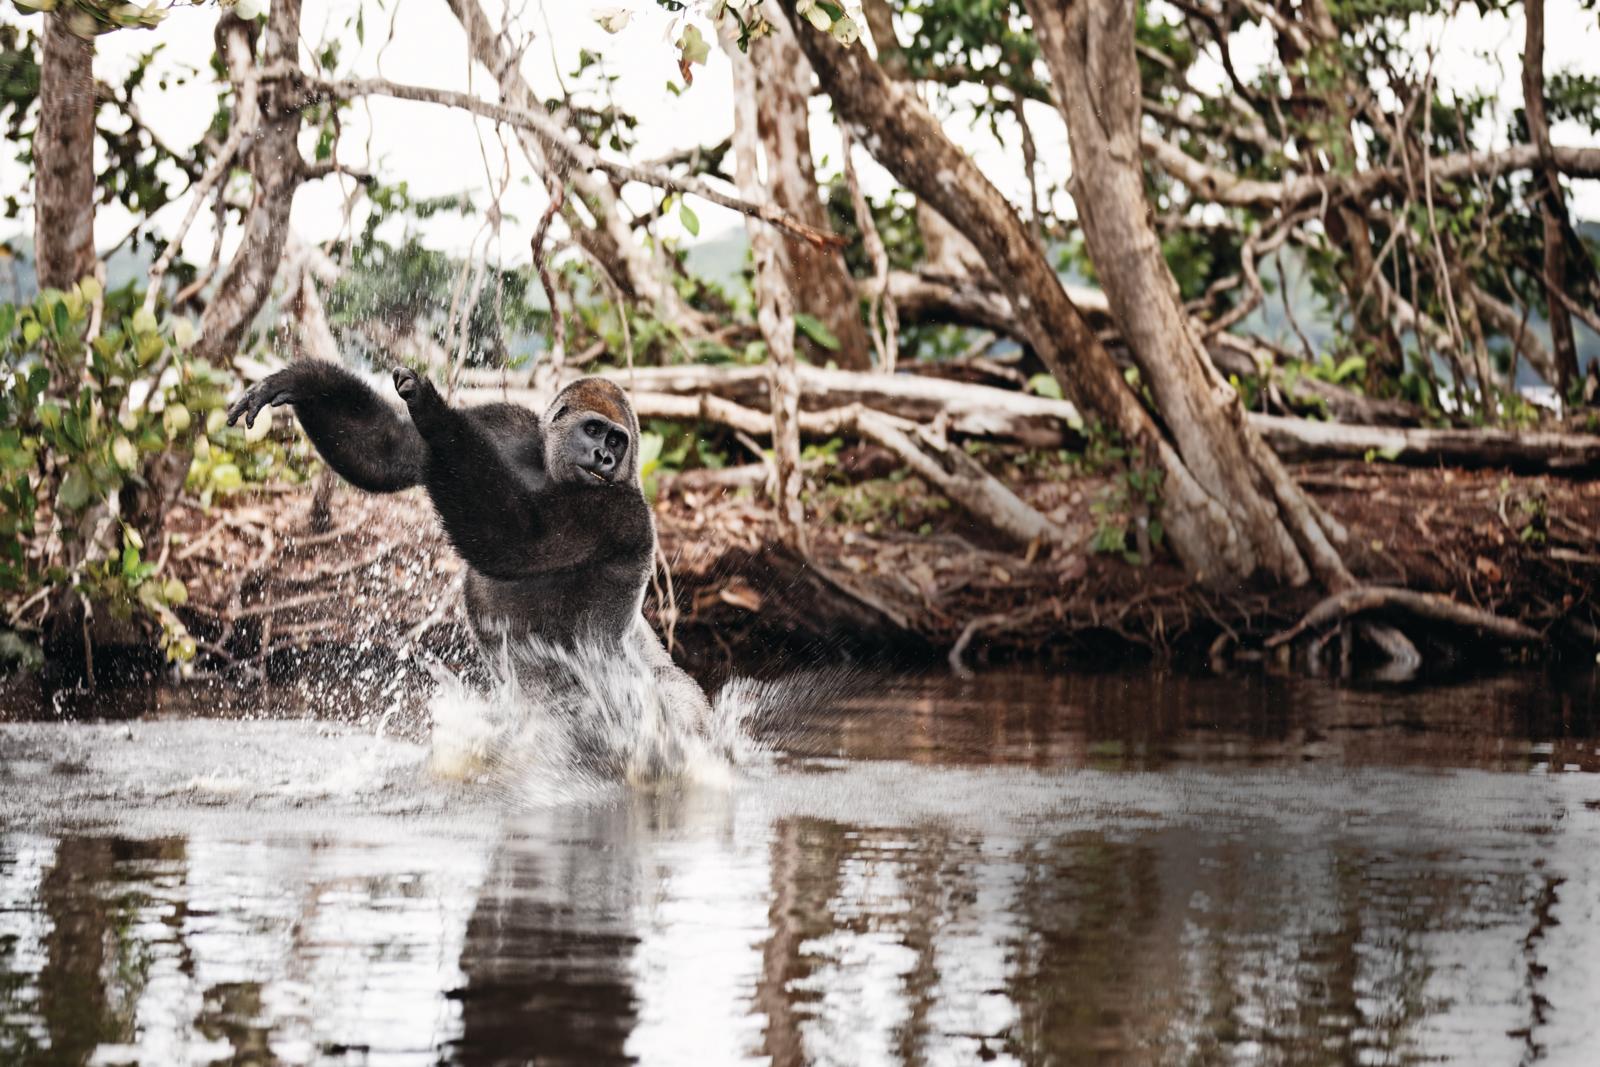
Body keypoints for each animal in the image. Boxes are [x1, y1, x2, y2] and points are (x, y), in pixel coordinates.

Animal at [226, 361, 711, 726]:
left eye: (617, 440)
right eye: (594, 431)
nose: (605, 458)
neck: (550, 469)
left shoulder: (619, 512)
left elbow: (518, 538)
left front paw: (433, 412)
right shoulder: (505, 421)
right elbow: (393, 451)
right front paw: (303, 380)